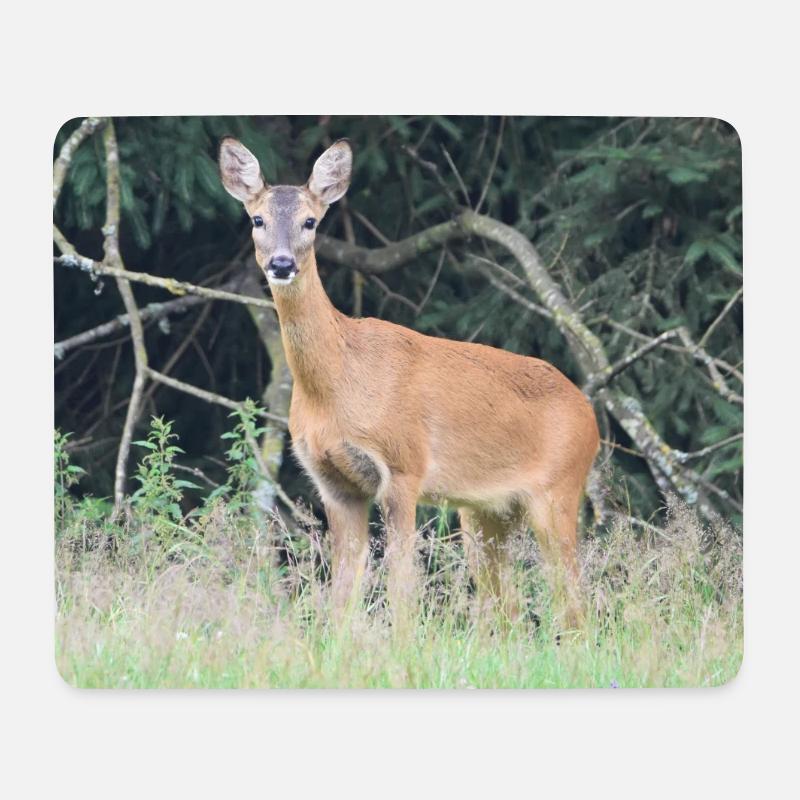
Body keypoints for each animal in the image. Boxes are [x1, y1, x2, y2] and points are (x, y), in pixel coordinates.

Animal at [218, 137, 600, 628]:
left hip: (558, 490)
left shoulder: (403, 466)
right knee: (507, 607)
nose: (282, 264)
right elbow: (343, 590)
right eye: (257, 219)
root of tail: (590, 414)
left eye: (310, 221)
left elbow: (403, 586)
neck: (337, 388)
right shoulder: (333, 483)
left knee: (573, 603)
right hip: (484, 512)